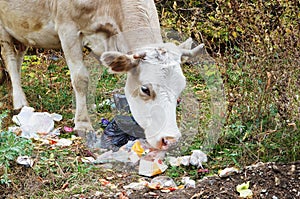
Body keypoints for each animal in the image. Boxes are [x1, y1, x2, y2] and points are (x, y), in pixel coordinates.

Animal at [0, 0, 204, 149]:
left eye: (180, 91)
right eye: (145, 89)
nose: (169, 139)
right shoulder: (68, 28)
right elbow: (81, 78)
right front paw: (83, 124)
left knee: (18, 58)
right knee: (9, 57)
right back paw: (20, 102)